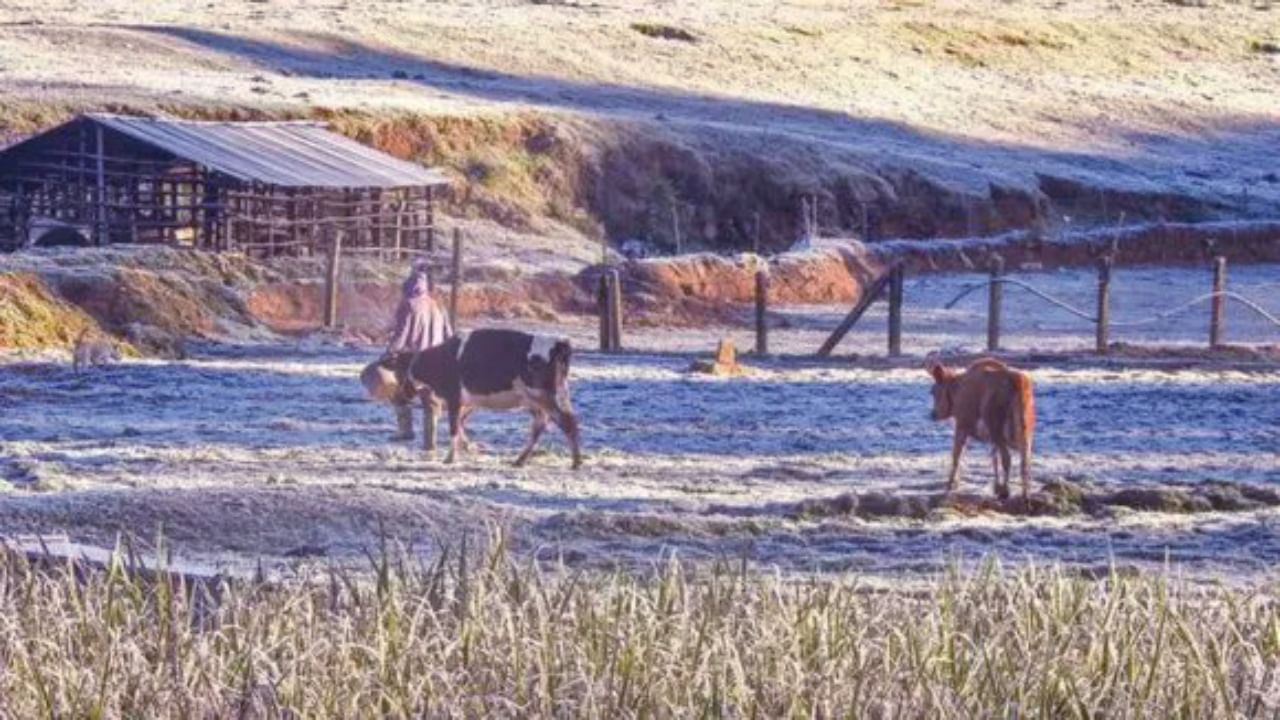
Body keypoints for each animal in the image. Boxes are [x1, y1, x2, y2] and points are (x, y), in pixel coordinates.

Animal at [389, 327, 586, 468]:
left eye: (399, 370)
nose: (402, 395)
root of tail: (559, 342)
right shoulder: (468, 401)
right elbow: (460, 423)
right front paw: (469, 448)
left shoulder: (454, 398)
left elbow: (454, 427)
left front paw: (450, 457)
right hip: (539, 398)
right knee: (542, 424)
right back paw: (520, 460)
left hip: (545, 396)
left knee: (566, 422)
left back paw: (576, 462)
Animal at [926, 356, 1034, 499]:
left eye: (933, 392)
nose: (933, 414)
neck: (956, 390)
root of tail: (1018, 382)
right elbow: (993, 457)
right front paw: (996, 487)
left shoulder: (962, 424)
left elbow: (956, 455)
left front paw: (950, 485)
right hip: (1024, 429)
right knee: (1025, 460)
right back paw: (1025, 494)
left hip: (996, 426)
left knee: (1008, 458)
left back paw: (1006, 490)